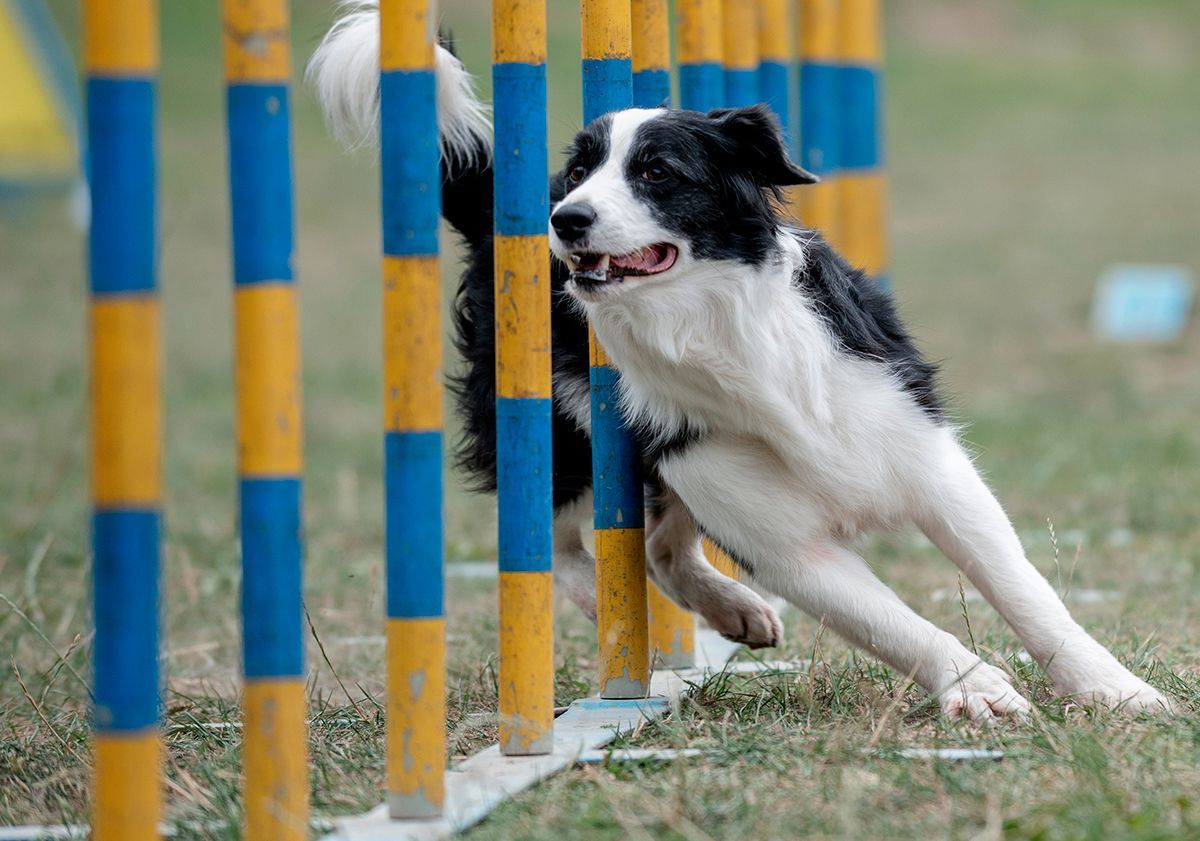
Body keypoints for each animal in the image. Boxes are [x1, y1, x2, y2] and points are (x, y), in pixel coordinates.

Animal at [307, 4, 1161, 715]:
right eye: (583, 171)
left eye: (656, 171)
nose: (566, 219)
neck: (715, 326)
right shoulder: (781, 535)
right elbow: (892, 622)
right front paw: (976, 686)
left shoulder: (924, 458)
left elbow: (1024, 589)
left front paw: (1112, 687)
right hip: (561, 432)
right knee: (566, 548)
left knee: (656, 543)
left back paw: (733, 610)